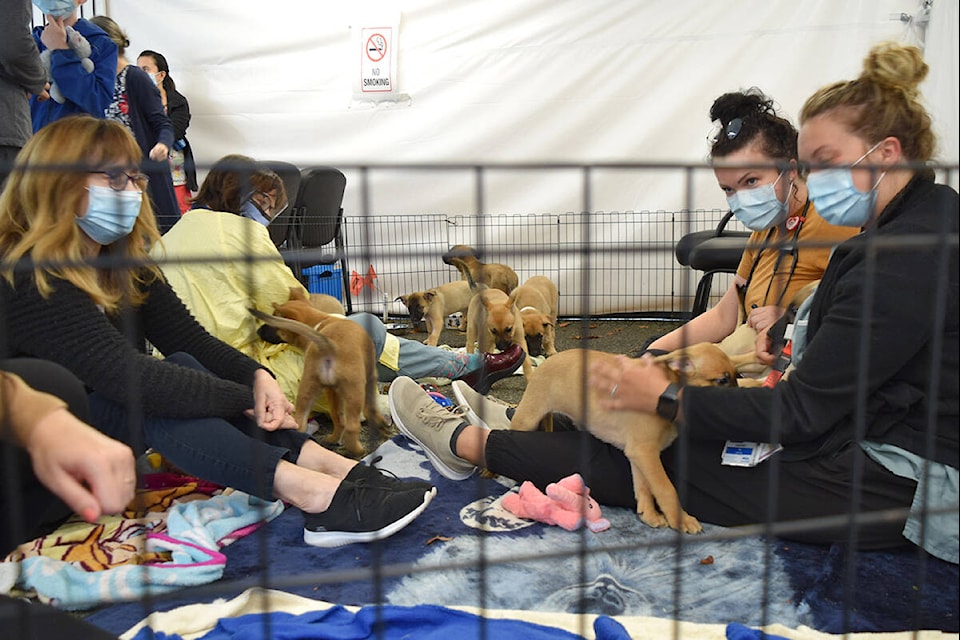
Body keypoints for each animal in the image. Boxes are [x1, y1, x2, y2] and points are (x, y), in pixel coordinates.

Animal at [510, 342, 744, 532]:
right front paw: (681, 519)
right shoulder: (645, 452)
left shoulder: (637, 453)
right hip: (527, 418)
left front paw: (648, 514)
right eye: (722, 380)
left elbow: (643, 486)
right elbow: (665, 488)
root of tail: (545, 363)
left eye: (738, 376)